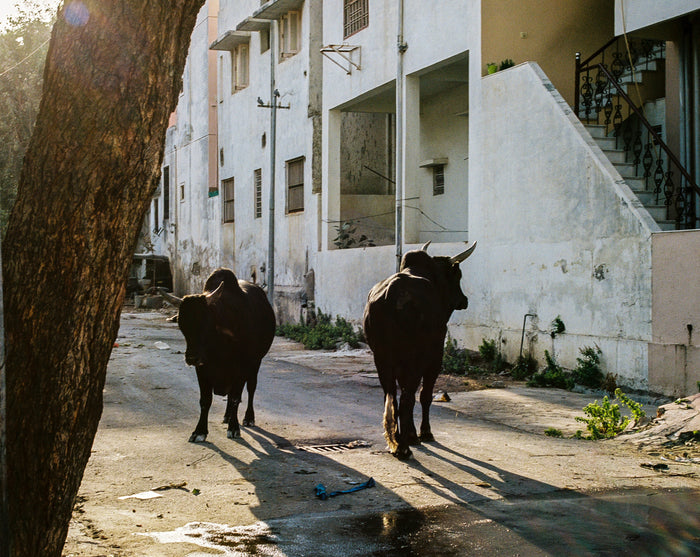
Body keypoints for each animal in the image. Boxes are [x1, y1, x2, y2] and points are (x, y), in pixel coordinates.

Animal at [176, 268, 274, 440]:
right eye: (182, 325)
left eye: (206, 323)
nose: (191, 358)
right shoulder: (202, 368)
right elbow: (205, 400)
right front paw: (199, 431)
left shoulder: (242, 367)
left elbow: (235, 397)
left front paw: (234, 428)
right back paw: (227, 416)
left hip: (256, 362)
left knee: (251, 388)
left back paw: (248, 418)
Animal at [360, 241, 476, 458]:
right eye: (457, 275)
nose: (463, 300)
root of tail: (392, 293)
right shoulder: (434, 357)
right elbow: (424, 396)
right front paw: (424, 433)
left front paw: (412, 435)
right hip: (414, 358)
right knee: (407, 399)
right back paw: (403, 447)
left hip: (382, 359)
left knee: (392, 397)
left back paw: (397, 441)